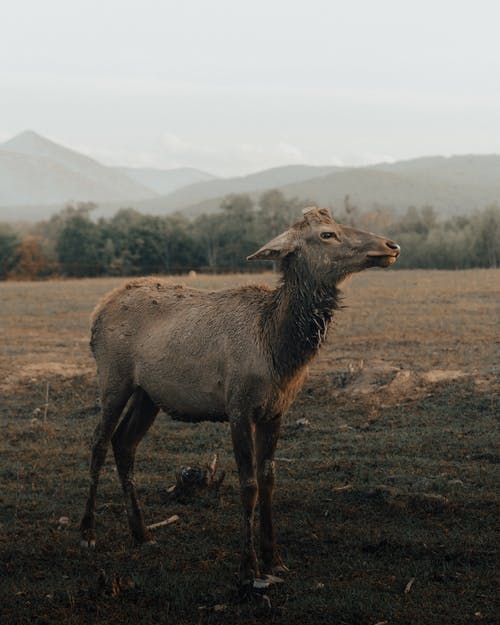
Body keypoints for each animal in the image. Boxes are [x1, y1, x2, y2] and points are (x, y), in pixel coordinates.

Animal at [80, 207, 400, 588]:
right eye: (327, 234)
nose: (391, 245)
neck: (278, 350)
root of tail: (98, 311)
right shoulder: (238, 407)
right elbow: (248, 485)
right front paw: (249, 568)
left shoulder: (276, 411)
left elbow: (268, 480)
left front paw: (275, 559)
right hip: (113, 377)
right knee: (99, 442)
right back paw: (88, 533)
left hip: (148, 394)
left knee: (125, 443)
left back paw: (142, 534)